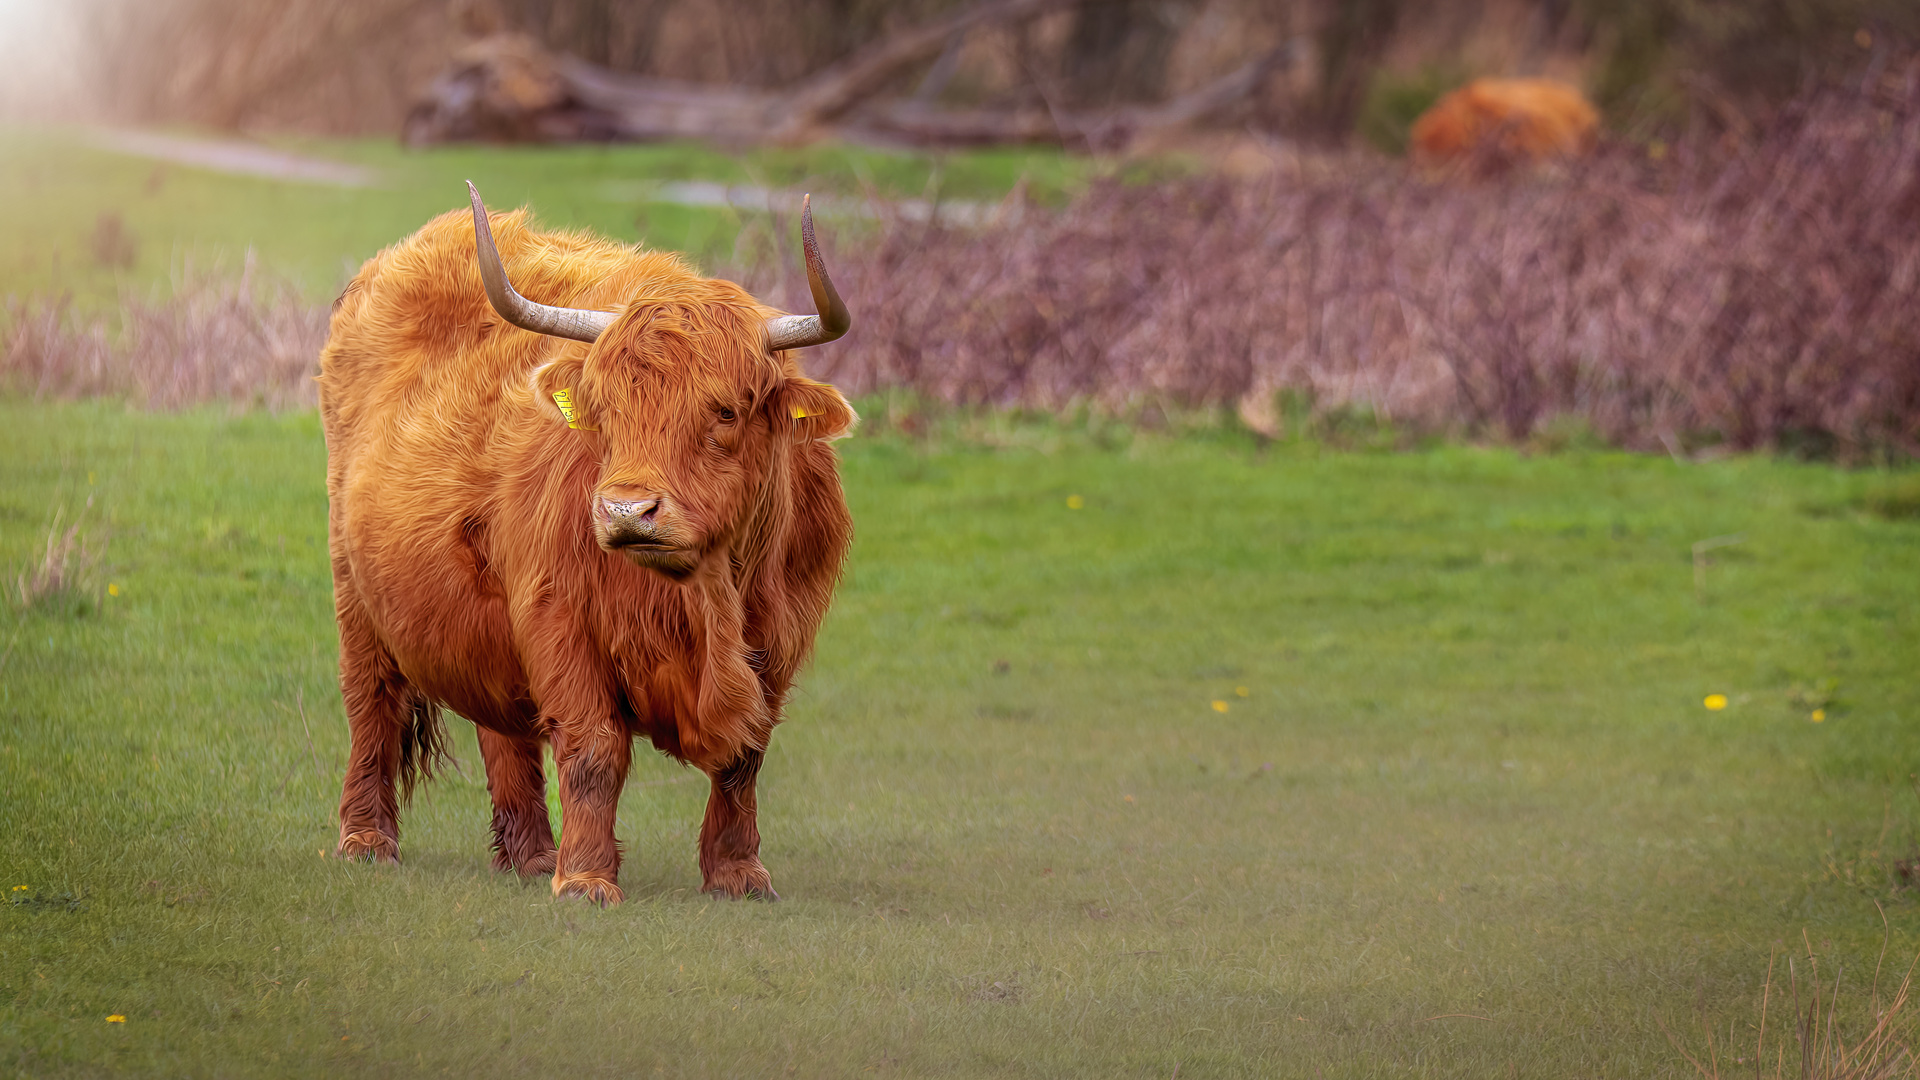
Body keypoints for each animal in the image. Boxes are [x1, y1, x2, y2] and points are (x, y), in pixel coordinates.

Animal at [320, 182, 856, 899]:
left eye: (725, 411)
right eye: (603, 410)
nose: (627, 509)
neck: (704, 600)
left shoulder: (779, 638)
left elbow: (745, 756)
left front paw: (738, 873)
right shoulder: (560, 619)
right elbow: (593, 750)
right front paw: (585, 878)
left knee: (503, 725)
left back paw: (530, 855)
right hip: (356, 590)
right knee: (371, 701)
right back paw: (368, 840)